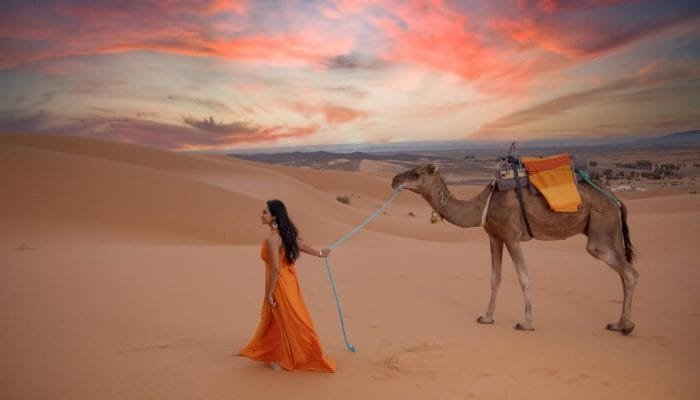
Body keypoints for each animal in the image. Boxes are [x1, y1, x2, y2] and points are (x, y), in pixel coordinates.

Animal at [391, 163, 638, 335]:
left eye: (416, 173)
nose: (394, 180)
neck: (483, 205)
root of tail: (617, 200)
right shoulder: (494, 236)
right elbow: (495, 278)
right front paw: (487, 317)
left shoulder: (511, 236)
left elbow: (524, 278)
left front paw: (526, 323)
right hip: (610, 230)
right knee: (624, 272)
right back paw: (619, 323)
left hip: (600, 229)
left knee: (629, 272)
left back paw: (625, 326)